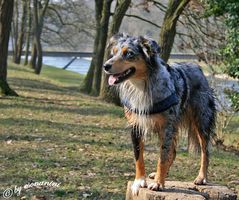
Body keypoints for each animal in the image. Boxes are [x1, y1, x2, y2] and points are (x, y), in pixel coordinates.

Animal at [102, 33, 217, 195]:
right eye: (114, 52)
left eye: (129, 53)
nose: (105, 66)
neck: (141, 86)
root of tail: (196, 67)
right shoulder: (136, 126)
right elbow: (138, 156)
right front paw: (139, 181)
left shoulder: (166, 127)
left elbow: (162, 157)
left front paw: (158, 184)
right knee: (173, 152)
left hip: (202, 122)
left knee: (205, 152)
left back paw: (201, 177)